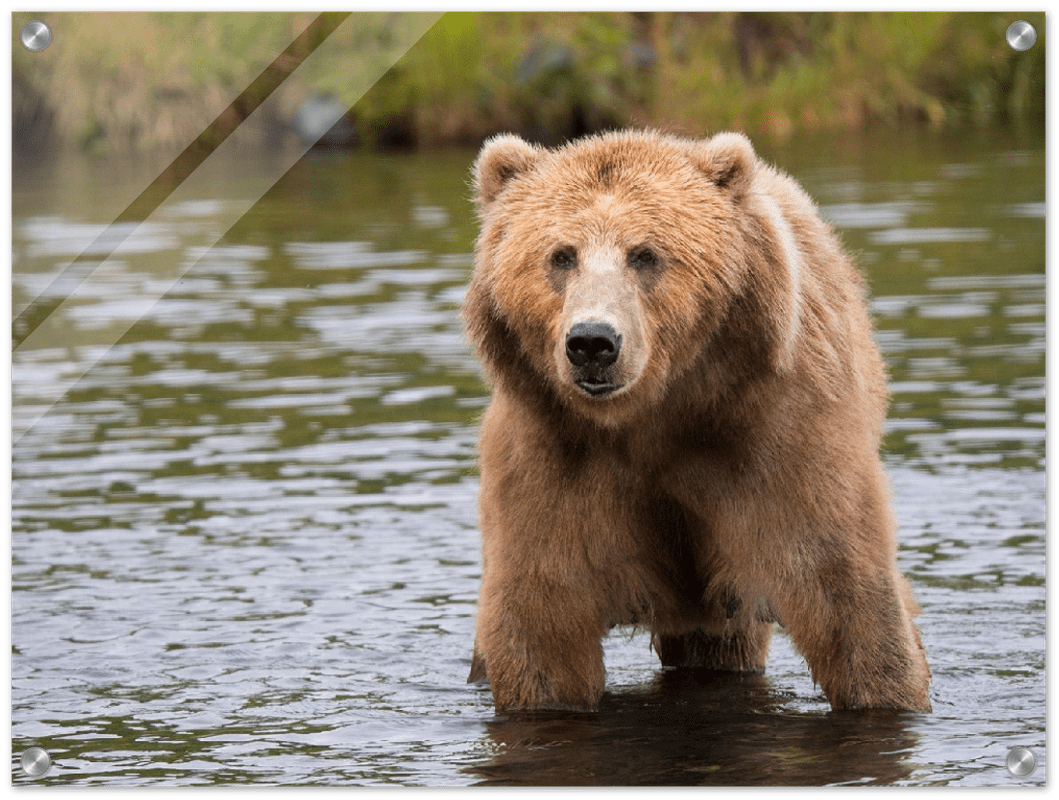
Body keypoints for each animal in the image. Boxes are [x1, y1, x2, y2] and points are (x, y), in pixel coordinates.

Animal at [462, 129, 931, 713]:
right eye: (561, 255)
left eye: (644, 254)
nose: (592, 342)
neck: (656, 414)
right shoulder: (553, 455)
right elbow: (541, 620)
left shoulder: (777, 436)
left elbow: (844, 590)